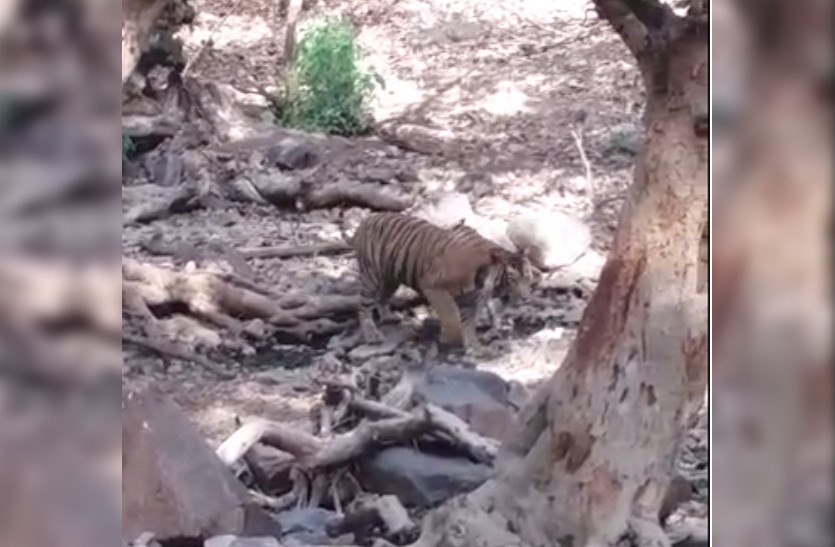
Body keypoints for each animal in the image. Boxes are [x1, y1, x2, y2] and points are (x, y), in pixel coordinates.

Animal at [342, 212, 535, 351]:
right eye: (512, 279)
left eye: (528, 277)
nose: (526, 298)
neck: (483, 279)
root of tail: (366, 220)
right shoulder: (432, 286)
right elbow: (450, 315)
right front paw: (450, 338)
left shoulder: (471, 299)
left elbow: (469, 322)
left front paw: (475, 347)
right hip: (371, 276)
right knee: (363, 306)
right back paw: (371, 335)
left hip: (391, 278)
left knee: (382, 296)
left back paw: (388, 316)